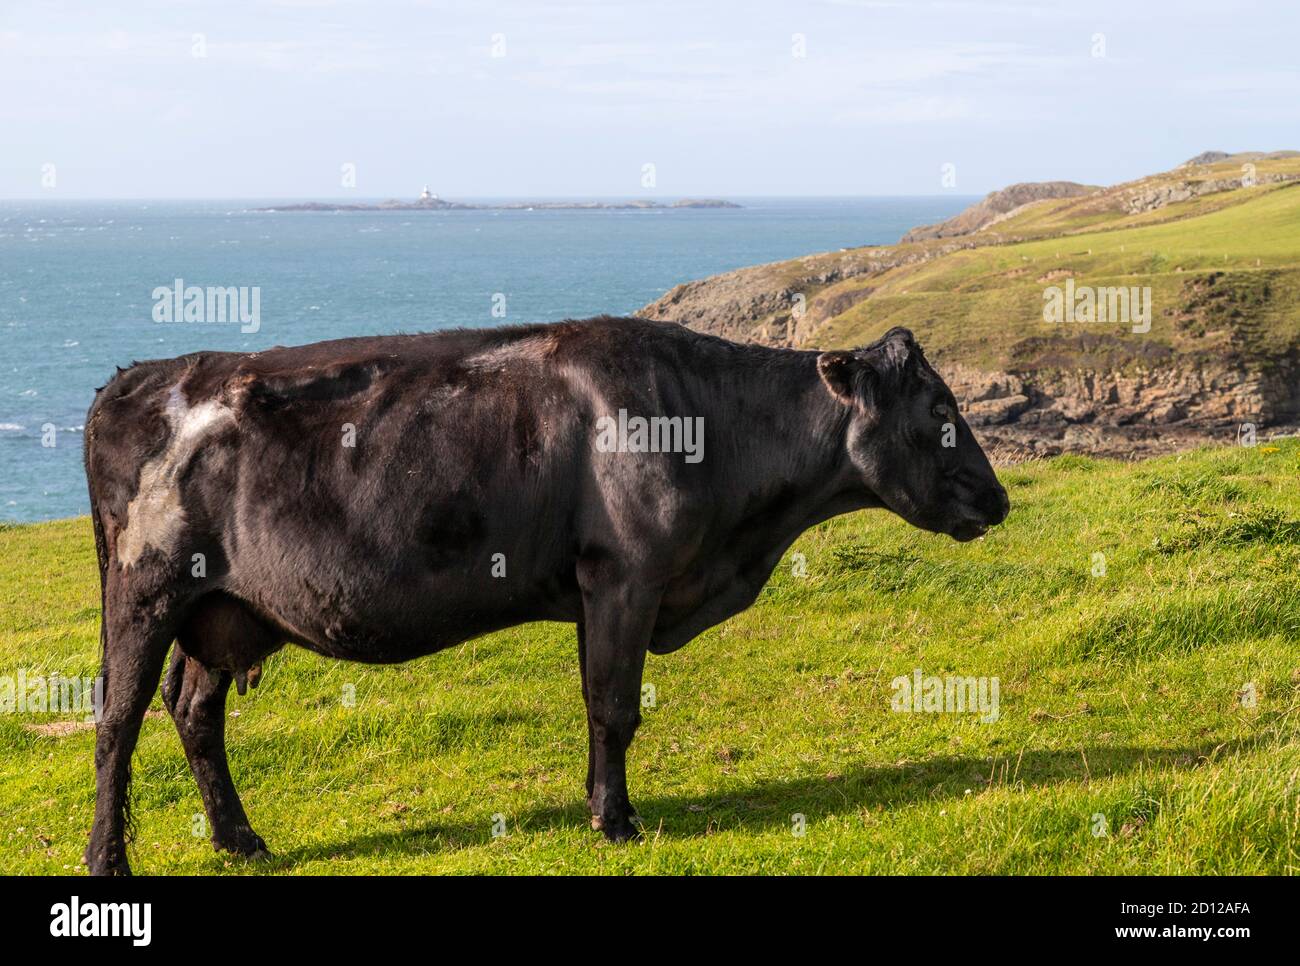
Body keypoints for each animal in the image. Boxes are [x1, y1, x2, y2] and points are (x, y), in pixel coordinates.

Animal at [82, 316, 1009, 874]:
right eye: (939, 407)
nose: (998, 498)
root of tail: (135, 378)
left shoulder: (597, 587)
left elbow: (598, 704)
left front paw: (601, 807)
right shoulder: (627, 575)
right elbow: (617, 706)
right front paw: (619, 821)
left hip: (224, 610)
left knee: (194, 710)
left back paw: (241, 840)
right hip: (144, 590)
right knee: (117, 718)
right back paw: (107, 858)